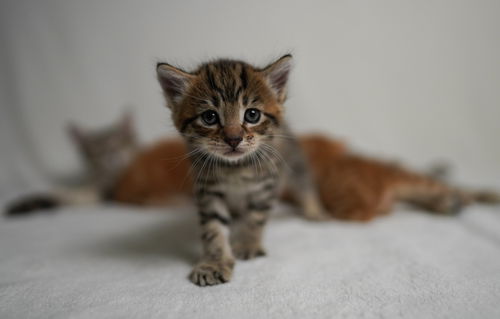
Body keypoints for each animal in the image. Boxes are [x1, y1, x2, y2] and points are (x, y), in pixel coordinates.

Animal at [157, 55, 328, 288]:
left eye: (252, 115)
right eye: (209, 117)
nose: (234, 139)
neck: (235, 167)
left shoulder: (266, 184)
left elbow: (255, 217)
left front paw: (248, 244)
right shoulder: (208, 189)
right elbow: (213, 228)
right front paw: (214, 263)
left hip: (293, 157)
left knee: (304, 182)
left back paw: (313, 210)